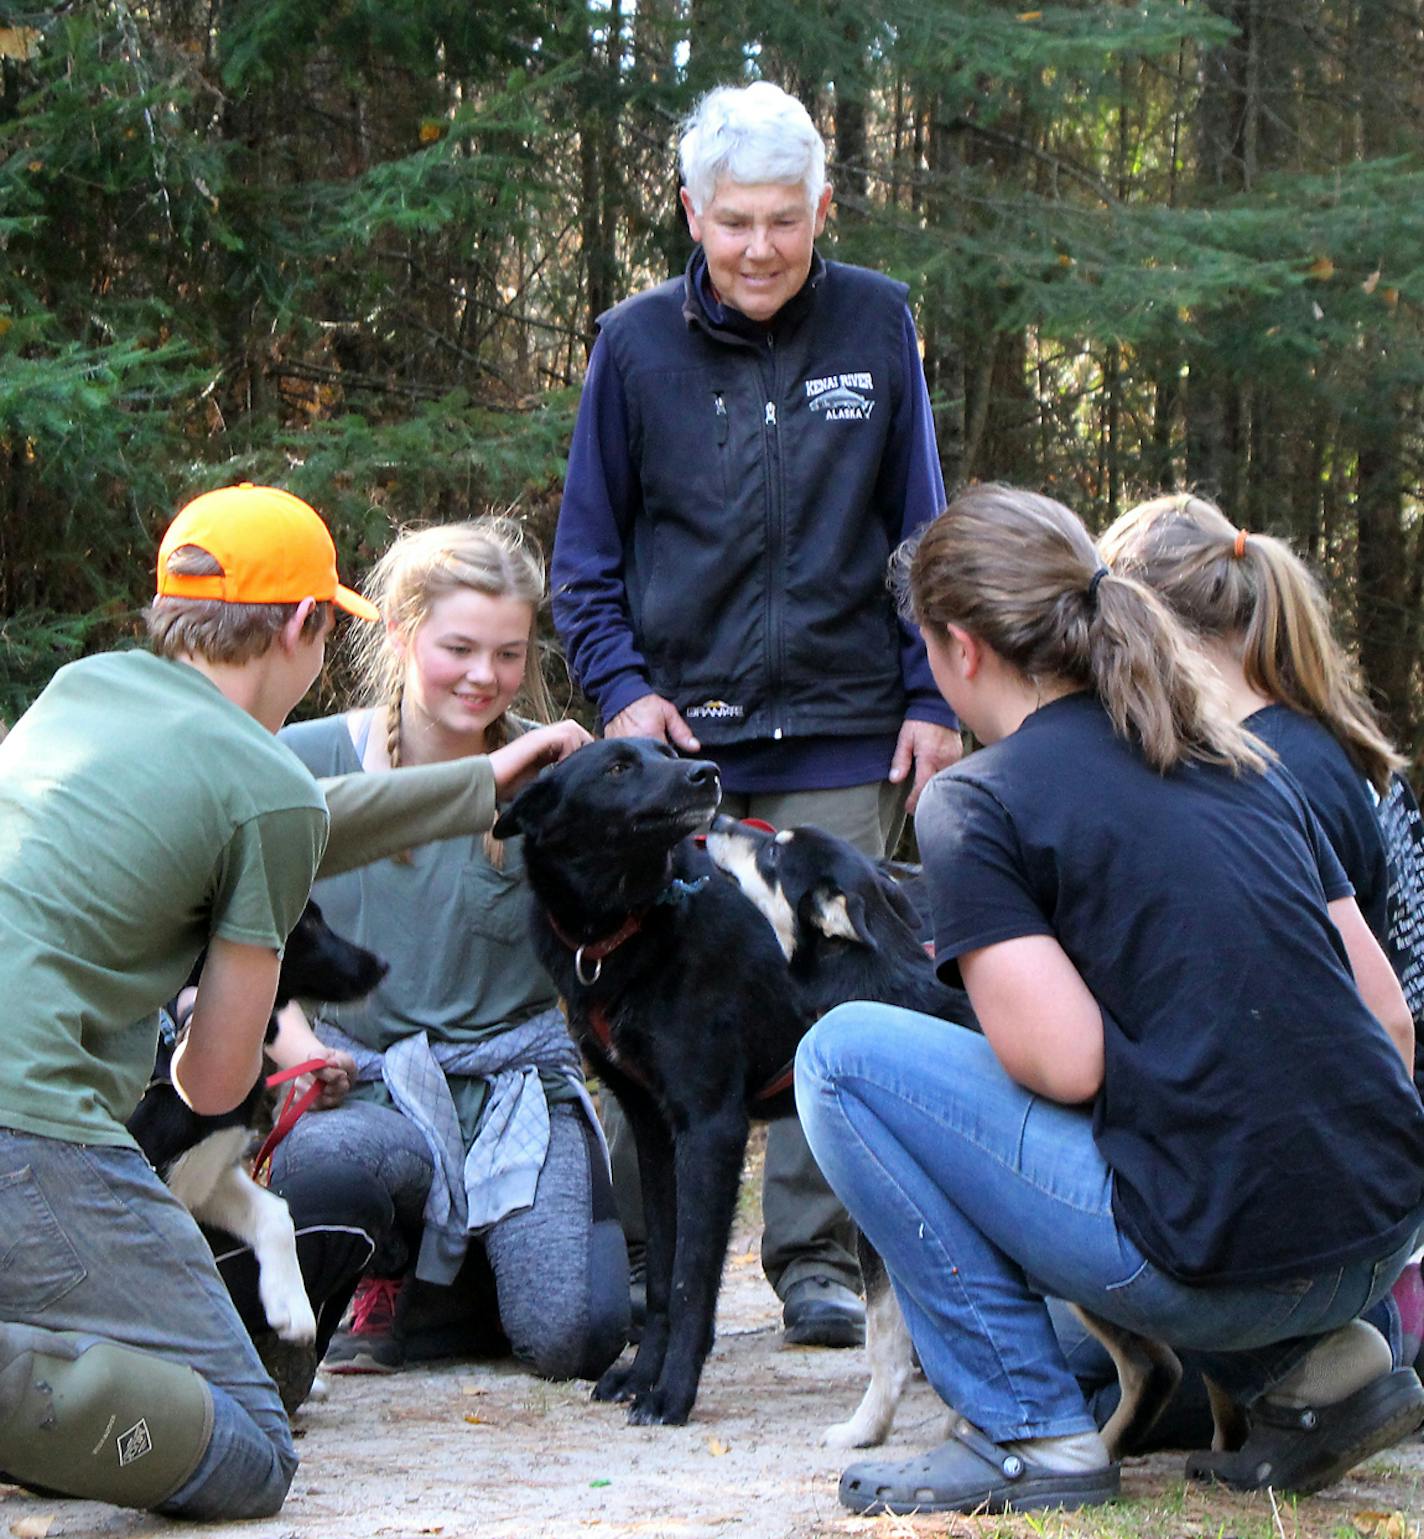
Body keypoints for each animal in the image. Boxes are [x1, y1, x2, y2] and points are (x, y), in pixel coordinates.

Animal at [492, 738, 812, 1422]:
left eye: (665, 752)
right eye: (618, 767)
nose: (707, 772)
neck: (624, 927)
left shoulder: (711, 1126)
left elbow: (692, 1277)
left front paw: (672, 1393)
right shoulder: (653, 1128)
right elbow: (664, 1274)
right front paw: (640, 1377)